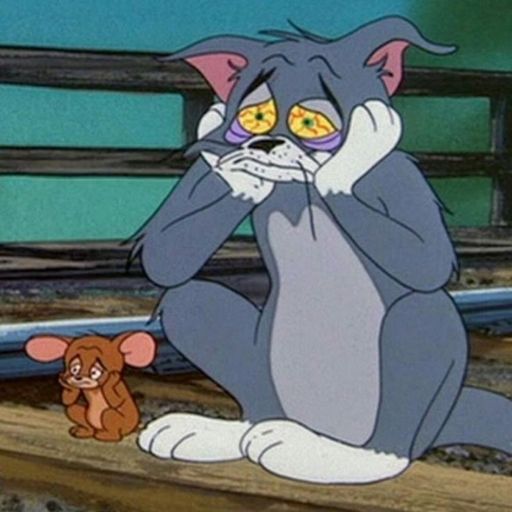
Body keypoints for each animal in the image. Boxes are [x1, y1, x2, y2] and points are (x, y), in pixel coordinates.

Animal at [133, 14, 512, 482]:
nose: (263, 144)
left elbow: (428, 261)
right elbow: (165, 255)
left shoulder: (399, 178)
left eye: (312, 125)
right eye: (256, 117)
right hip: (267, 378)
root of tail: (322, 427)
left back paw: (337, 455)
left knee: (422, 317)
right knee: (190, 299)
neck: (302, 186)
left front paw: (366, 137)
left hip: (408, 397)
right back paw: (226, 433)